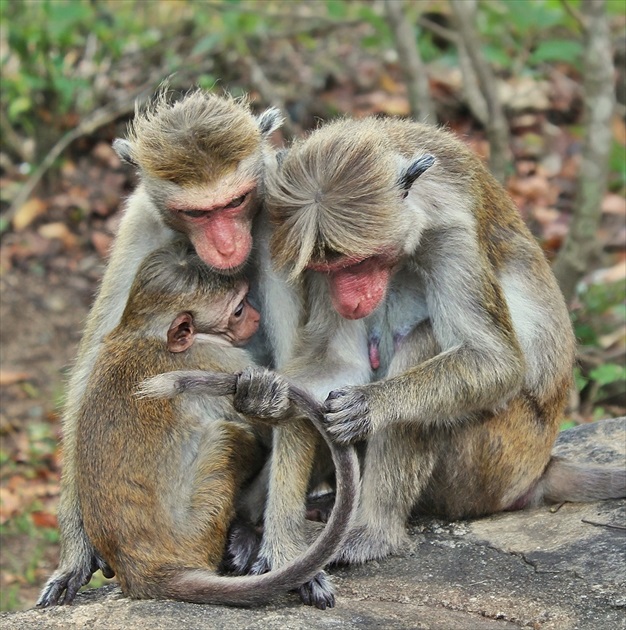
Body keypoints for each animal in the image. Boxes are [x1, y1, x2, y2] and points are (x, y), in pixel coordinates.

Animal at [37, 89, 292, 608]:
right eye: (197, 213)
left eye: (235, 202)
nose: (225, 246)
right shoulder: (140, 221)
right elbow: (93, 361)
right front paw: (74, 554)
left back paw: (249, 533)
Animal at [71, 239, 358, 608]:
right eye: (237, 310)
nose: (254, 316)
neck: (146, 335)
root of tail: (140, 571)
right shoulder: (218, 357)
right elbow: (263, 432)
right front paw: (262, 399)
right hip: (201, 528)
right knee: (229, 435)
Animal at [230, 115, 624, 572]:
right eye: (331, 268)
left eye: (361, 263)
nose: (349, 299)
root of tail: (541, 467)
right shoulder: (297, 247)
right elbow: (334, 365)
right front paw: (268, 398)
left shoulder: (451, 232)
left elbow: (496, 361)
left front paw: (372, 404)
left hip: (500, 461)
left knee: (427, 343)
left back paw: (374, 532)